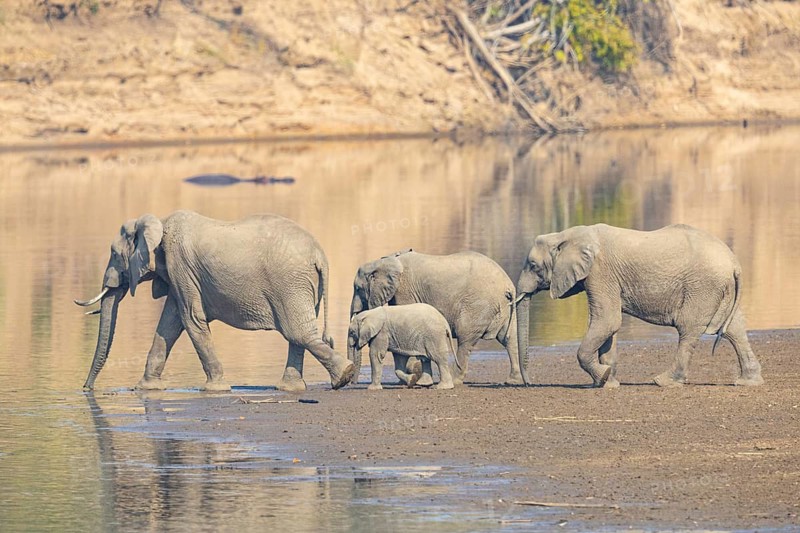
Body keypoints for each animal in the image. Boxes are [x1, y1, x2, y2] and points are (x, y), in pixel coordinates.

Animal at [74, 210, 355, 392]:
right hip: (301, 285)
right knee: (298, 334)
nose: (87, 389)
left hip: (290, 283)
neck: (159, 222)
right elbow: (169, 323)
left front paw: (214, 389)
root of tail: (320, 255)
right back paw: (291, 389)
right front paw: (146, 388)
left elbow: (190, 319)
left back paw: (343, 376)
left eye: (113, 254)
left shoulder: (181, 266)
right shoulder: (179, 276)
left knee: (298, 333)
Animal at [350, 250, 528, 386]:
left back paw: (455, 380)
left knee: (465, 340)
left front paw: (412, 374)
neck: (386, 260)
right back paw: (513, 381)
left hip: (478, 306)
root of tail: (507, 285)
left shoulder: (403, 290)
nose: (353, 382)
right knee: (509, 339)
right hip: (505, 307)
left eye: (357, 288)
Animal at [515, 223, 764, 388]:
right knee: (734, 329)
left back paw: (663, 381)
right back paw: (748, 382)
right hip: (720, 289)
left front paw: (603, 378)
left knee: (688, 329)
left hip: (702, 286)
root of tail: (734, 263)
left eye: (533, 265)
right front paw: (608, 382)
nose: (529, 383)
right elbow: (609, 327)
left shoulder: (600, 272)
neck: (567, 234)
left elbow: (608, 320)